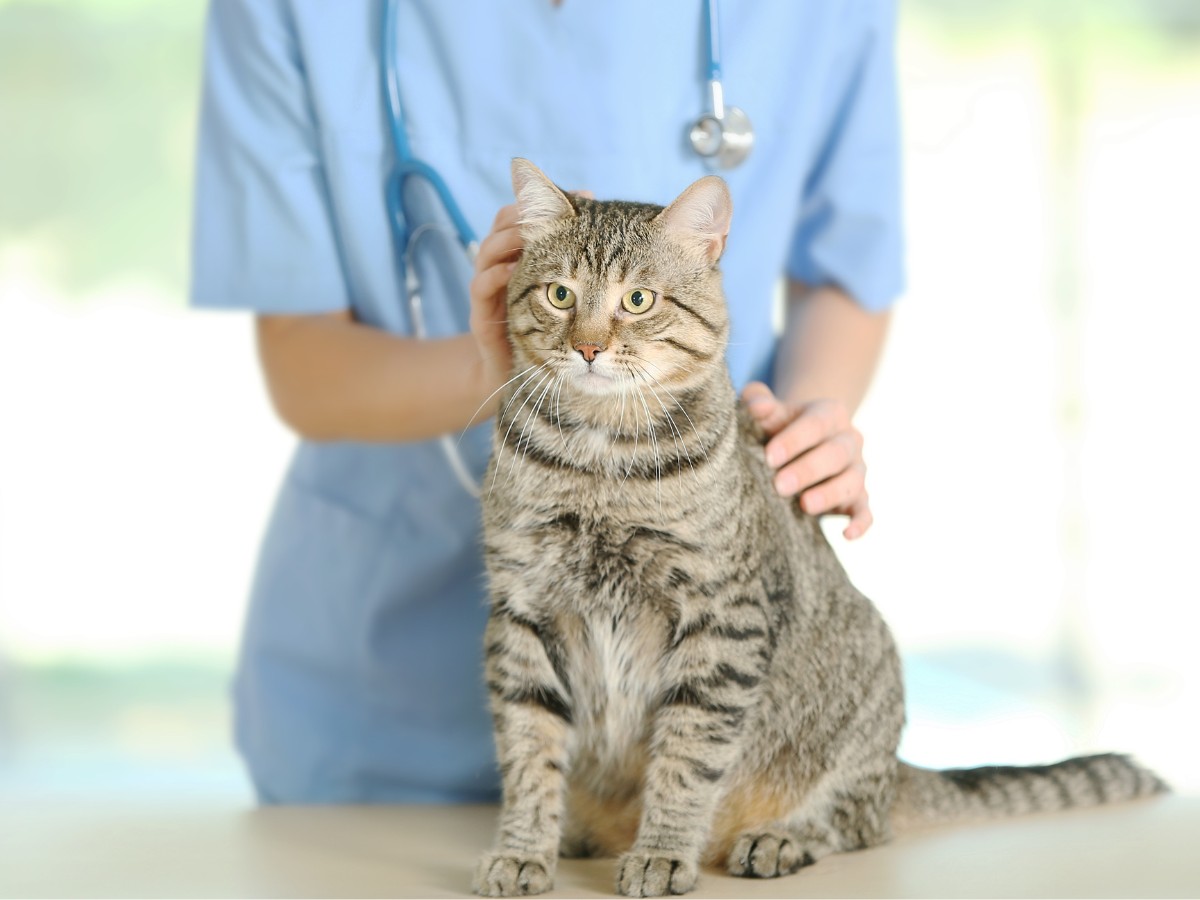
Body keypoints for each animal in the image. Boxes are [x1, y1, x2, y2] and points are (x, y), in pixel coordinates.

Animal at [470, 158, 1171, 897]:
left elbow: (687, 757)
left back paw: (779, 837)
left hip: (867, 687)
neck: (600, 460)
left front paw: (661, 849)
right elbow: (529, 751)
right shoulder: (522, 610)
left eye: (638, 300)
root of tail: (898, 771)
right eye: (559, 294)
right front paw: (524, 848)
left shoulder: (722, 619)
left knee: (856, 822)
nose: (587, 346)